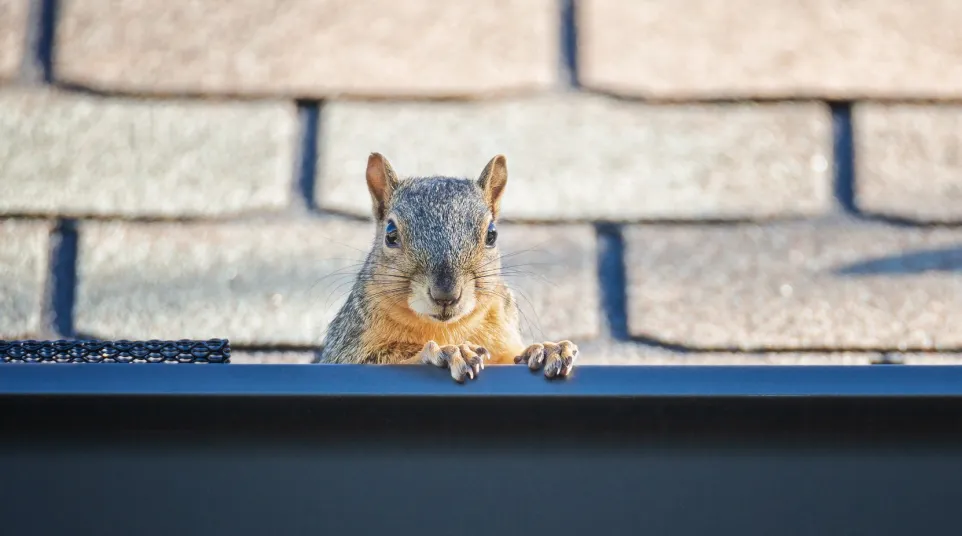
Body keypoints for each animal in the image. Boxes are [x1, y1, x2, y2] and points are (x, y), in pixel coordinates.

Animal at [316, 153, 576, 384]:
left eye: (492, 234)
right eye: (390, 234)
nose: (445, 295)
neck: (445, 328)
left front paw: (546, 349)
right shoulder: (346, 349)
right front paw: (449, 352)